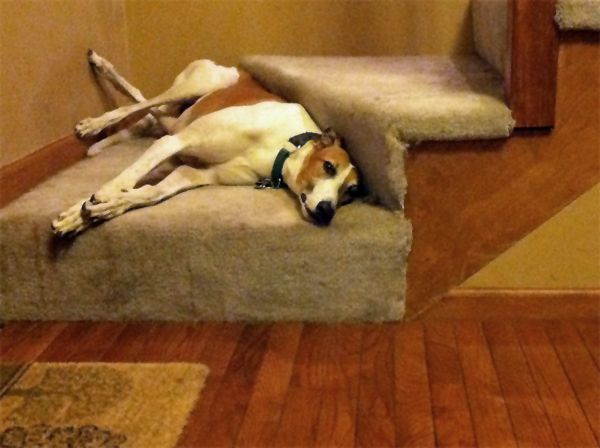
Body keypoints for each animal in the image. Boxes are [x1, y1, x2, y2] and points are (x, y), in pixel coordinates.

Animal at [51, 50, 358, 236]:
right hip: (197, 86)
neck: (282, 146)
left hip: (177, 115)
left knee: (150, 112)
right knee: (139, 102)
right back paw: (96, 114)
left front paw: (92, 211)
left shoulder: (191, 173)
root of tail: (232, 67)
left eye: (350, 192)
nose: (326, 211)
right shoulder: (178, 141)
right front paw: (101, 198)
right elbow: (127, 177)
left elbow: (149, 193)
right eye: (328, 166)